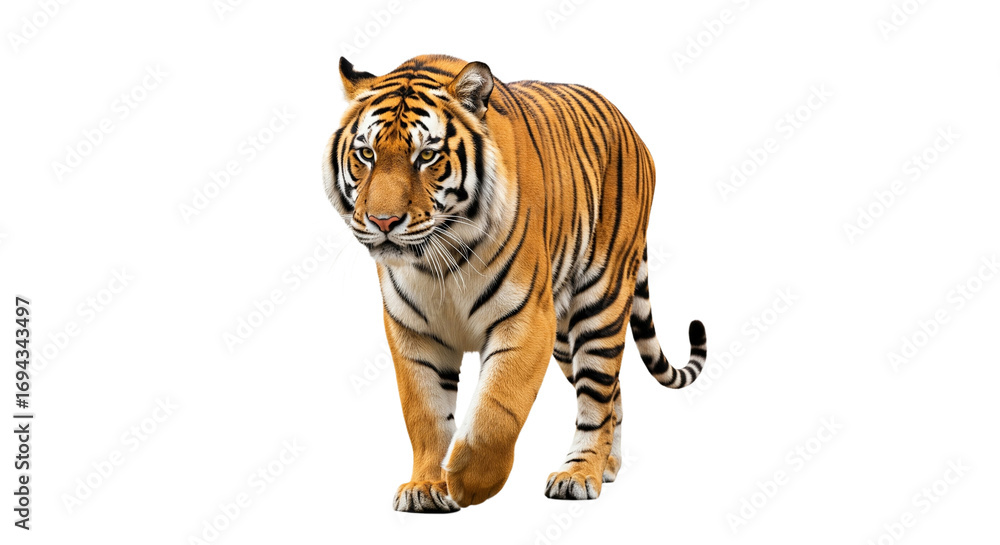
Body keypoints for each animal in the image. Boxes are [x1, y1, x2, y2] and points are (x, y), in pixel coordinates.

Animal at [322, 54, 706, 512]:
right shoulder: (413, 331)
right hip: (564, 334)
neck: (438, 262)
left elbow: (497, 409)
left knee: (597, 393)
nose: (383, 222)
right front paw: (426, 486)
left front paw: (467, 482)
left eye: (427, 155)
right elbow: (425, 414)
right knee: (614, 391)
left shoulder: (526, 321)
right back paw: (607, 465)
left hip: (600, 302)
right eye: (366, 153)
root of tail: (629, 125)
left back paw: (580, 474)